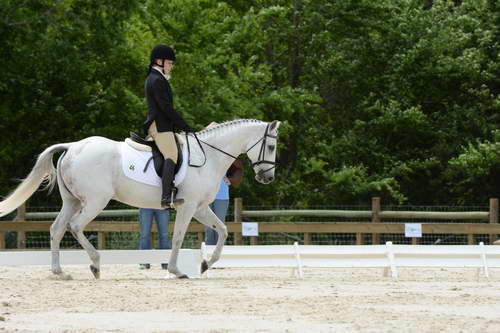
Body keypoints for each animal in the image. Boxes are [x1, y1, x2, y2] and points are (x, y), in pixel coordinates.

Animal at [0, 118, 282, 278]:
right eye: (271, 146)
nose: (267, 178)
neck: (209, 156)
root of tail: (73, 146)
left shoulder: (201, 208)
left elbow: (222, 230)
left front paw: (205, 264)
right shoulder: (189, 207)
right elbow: (178, 237)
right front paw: (176, 270)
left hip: (73, 201)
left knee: (57, 228)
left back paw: (59, 272)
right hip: (95, 201)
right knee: (75, 226)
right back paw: (95, 265)